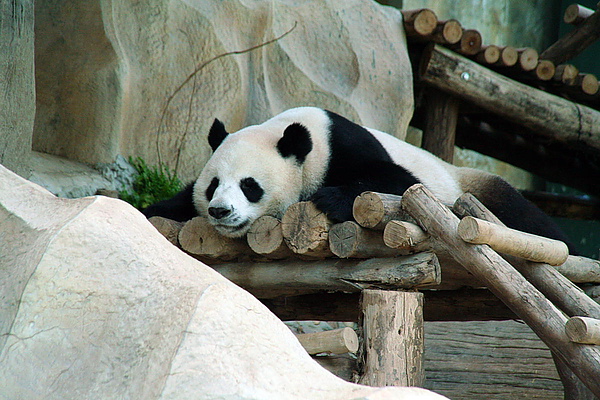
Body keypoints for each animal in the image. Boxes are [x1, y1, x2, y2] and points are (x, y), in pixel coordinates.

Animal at [142, 104, 576, 252]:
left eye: (250, 185)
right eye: (213, 185)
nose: (219, 211)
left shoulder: (344, 146)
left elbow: (398, 182)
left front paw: (330, 198)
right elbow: (175, 200)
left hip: (468, 184)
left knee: (521, 213)